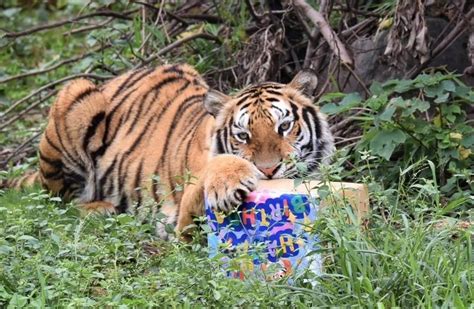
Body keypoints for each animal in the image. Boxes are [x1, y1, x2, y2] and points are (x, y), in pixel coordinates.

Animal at [5, 64, 336, 238]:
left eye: (284, 127)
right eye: (243, 136)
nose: (268, 170)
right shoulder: (183, 218)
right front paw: (230, 179)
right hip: (77, 93)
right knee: (60, 201)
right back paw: (100, 209)